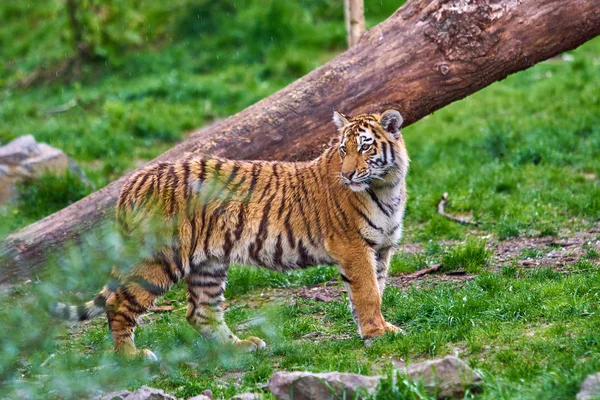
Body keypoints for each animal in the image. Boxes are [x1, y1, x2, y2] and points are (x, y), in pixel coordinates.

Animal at [51, 109, 410, 360]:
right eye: (342, 149)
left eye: (365, 147)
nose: (347, 175)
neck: (386, 186)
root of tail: (134, 180)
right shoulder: (353, 247)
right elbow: (367, 292)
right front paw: (378, 332)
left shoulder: (381, 248)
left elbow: (376, 289)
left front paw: (375, 329)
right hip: (160, 258)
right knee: (118, 303)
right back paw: (132, 357)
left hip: (208, 263)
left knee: (200, 312)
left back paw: (239, 347)